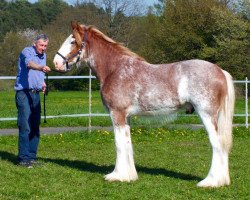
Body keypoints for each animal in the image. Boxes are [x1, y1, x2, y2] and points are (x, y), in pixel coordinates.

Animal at [52, 21, 234, 188]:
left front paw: (116, 176)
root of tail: (220, 71)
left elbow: (119, 144)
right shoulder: (126, 117)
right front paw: (129, 175)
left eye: (72, 41)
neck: (115, 70)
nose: (56, 63)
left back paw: (211, 181)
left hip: (206, 115)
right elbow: (127, 143)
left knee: (217, 144)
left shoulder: (117, 114)